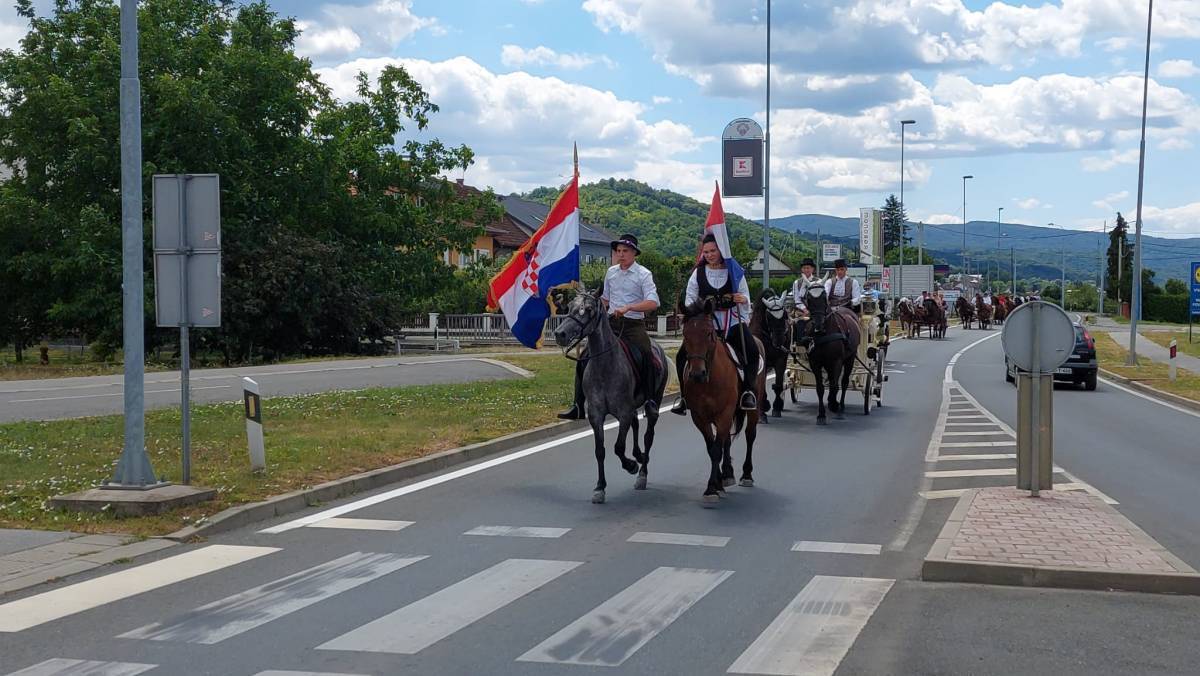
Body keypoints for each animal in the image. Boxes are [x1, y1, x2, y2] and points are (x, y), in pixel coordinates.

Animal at [549, 284, 667, 501]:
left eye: (588, 309)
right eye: (569, 306)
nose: (560, 334)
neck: (606, 366)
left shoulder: (623, 412)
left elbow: (618, 447)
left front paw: (630, 465)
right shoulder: (597, 415)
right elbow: (600, 451)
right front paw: (600, 487)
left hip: (653, 403)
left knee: (648, 435)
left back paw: (642, 473)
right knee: (636, 425)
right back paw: (638, 455)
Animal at [681, 298, 763, 504]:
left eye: (709, 333)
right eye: (685, 334)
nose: (697, 374)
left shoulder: (724, 413)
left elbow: (717, 449)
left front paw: (711, 487)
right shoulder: (700, 417)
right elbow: (712, 447)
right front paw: (717, 482)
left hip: (753, 408)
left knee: (750, 434)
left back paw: (746, 475)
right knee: (726, 439)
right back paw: (727, 474)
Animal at [801, 277, 859, 425]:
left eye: (824, 297)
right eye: (809, 298)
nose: (818, 325)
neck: (823, 333)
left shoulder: (836, 361)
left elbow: (834, 385)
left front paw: (834, 405)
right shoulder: (815, 362)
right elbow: (820, 388)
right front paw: (821, 414)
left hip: (850, 358)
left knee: (843, 382)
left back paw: (841, 406)